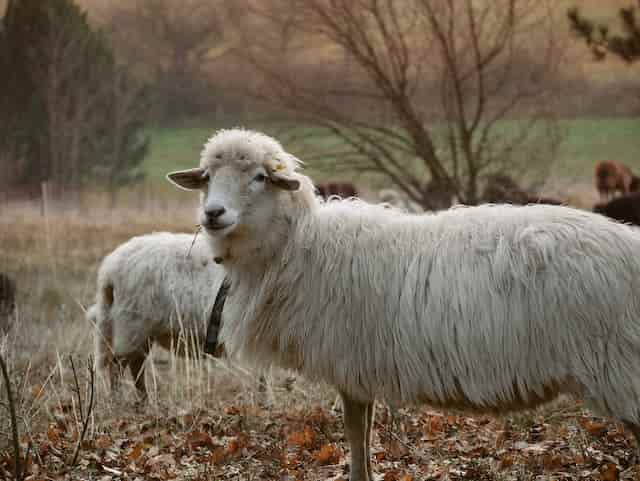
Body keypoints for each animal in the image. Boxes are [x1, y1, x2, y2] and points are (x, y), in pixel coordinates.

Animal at [87, 232, 226, 398]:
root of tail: (109, 267)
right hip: (130, 326)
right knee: (118, 365)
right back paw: (118, 399)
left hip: (142, 333)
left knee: (135, 364)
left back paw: (143, 399)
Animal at [166, 128, 640, 480]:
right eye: (207, 176)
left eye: (260, 177)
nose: (213, 214)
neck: (298, 245)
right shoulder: (359, 366)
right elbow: (364, 432)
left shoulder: (348, 361)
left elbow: (356, 432)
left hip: (620, 365)